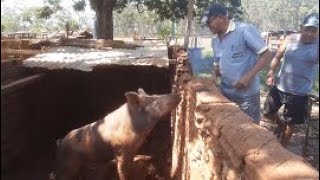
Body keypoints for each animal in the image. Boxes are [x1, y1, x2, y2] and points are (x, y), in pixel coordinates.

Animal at [53, 88, 181, 180]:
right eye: (154, 101)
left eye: (155, 95)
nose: (178, 94)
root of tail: (60, 142)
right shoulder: (121, 149)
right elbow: (123, 170)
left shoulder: (133, 148)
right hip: (68, 164)